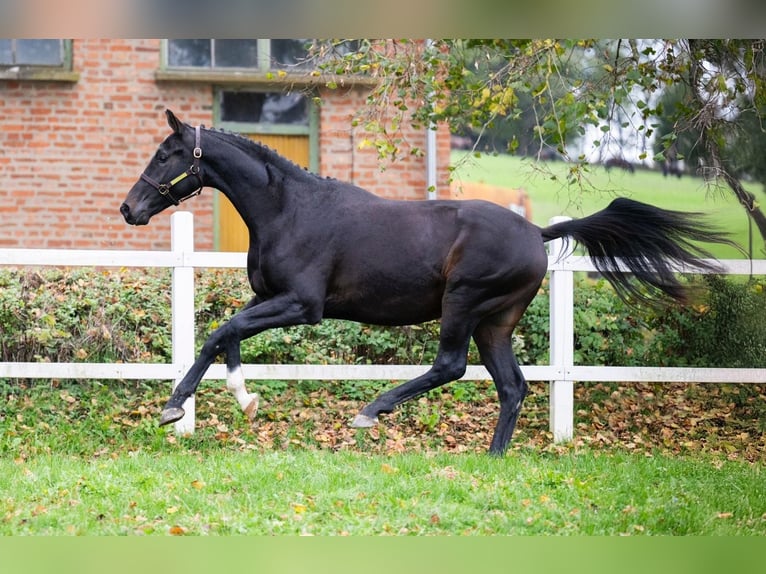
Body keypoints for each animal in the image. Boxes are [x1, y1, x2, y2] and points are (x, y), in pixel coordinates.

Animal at [121, 110, 736, 456]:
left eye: (168, 153)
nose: (129, 208)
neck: (289, 209)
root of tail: (537, 231)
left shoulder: (301, 304)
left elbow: (218, 332)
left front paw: (173, 409)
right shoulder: (268, 297)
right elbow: (227, 337)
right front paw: (244, 399)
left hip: (464, 304)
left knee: (452, 366)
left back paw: (373, 411)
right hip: (496, 322)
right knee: (512, 386)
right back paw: (491, 459)